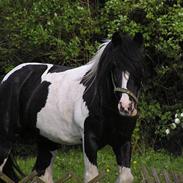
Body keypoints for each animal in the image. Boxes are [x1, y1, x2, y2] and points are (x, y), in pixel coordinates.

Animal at [0, 32, 144, 182]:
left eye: (139, 67)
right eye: (114, 67)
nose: (126, 107)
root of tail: (8, 77)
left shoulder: (123, 141)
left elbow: (126, 177)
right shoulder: (89, 141)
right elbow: (93, 176)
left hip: (47, 141)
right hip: (5, 139)